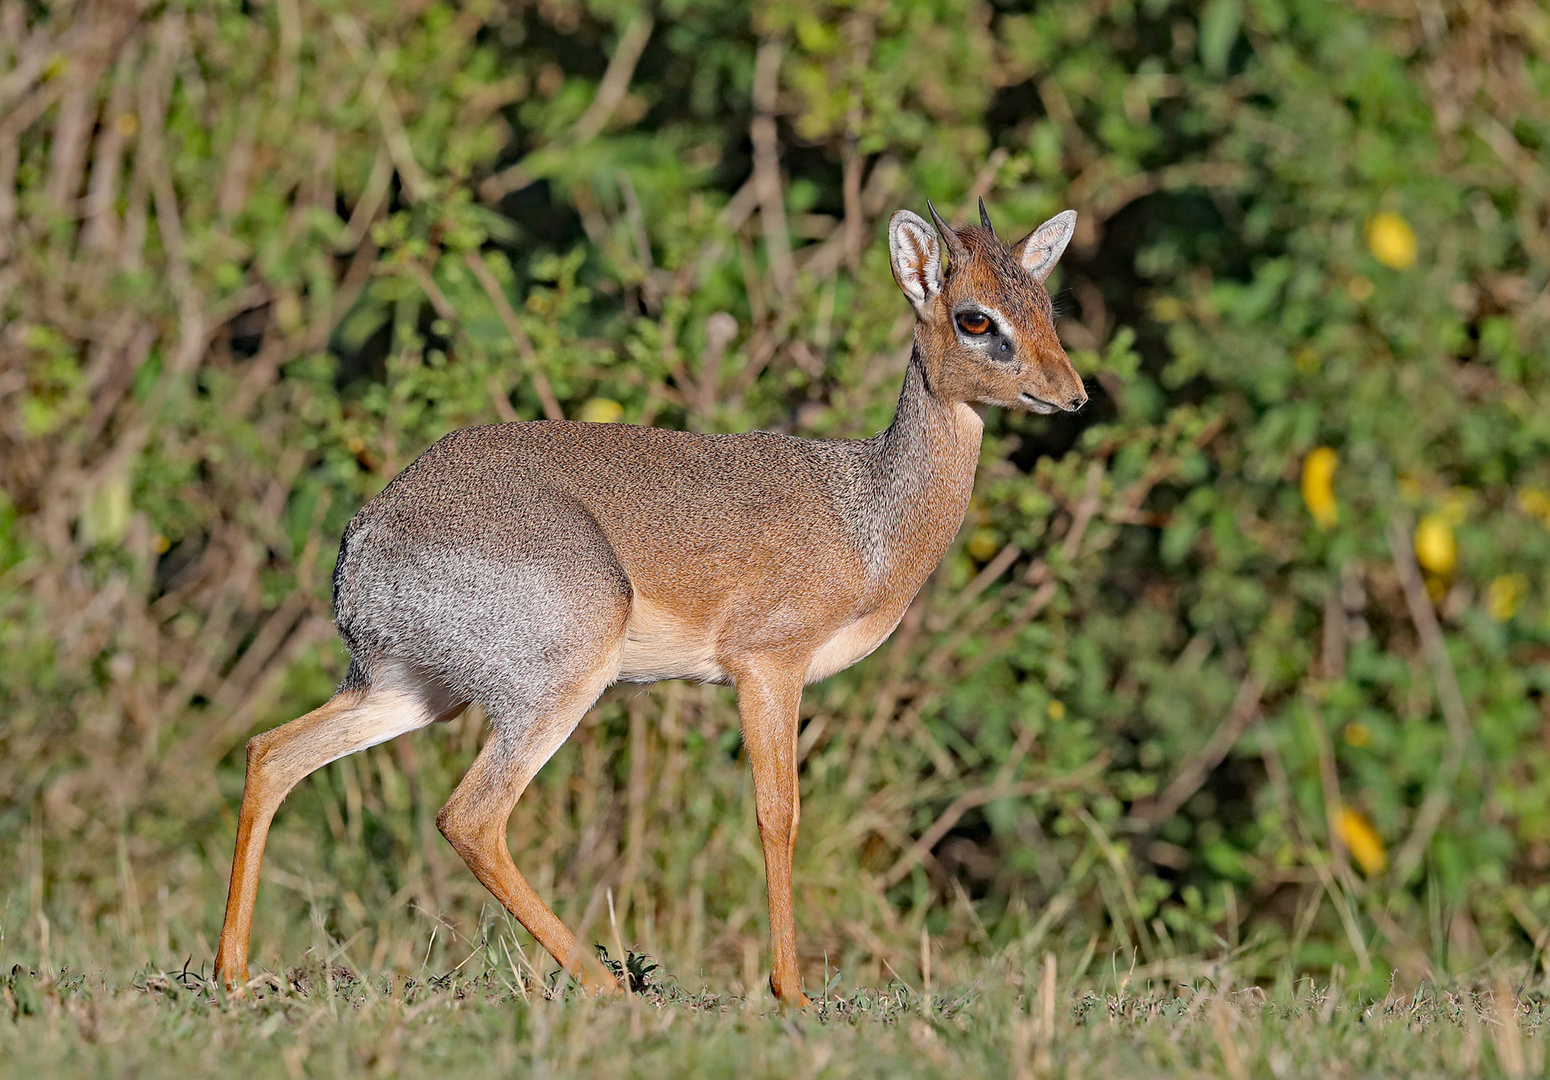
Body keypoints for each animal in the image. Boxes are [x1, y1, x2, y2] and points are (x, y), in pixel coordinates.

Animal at [218, 199, 1085, 1004]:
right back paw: (607, 987)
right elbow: (778, 815)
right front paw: (792, 993)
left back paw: (236, 974)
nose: (1071, 395)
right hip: (555, 682)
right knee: (470, 816)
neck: (867, 517)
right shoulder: (767, 667)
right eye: (976, 318)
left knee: (273, 753)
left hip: (414, 689)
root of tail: (364, 539)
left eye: (1046, 305)